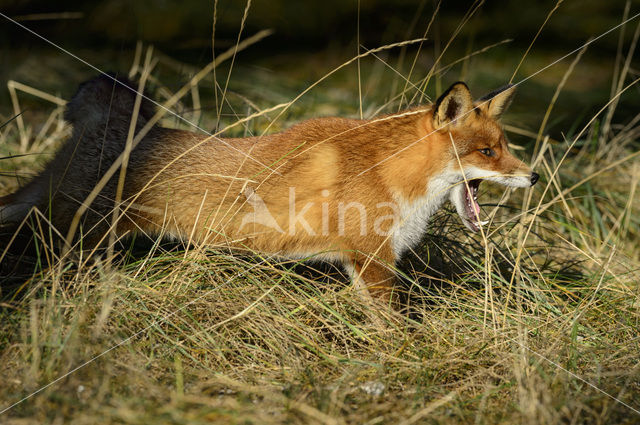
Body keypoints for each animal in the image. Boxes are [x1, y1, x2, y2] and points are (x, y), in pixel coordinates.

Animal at [0, 74, 536, 304]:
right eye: (486, 152)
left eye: (505, 147)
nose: (532, 177)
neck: (389, 172)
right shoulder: (373, 260)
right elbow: (393, 331)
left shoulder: (360, 263)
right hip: (77, 234)